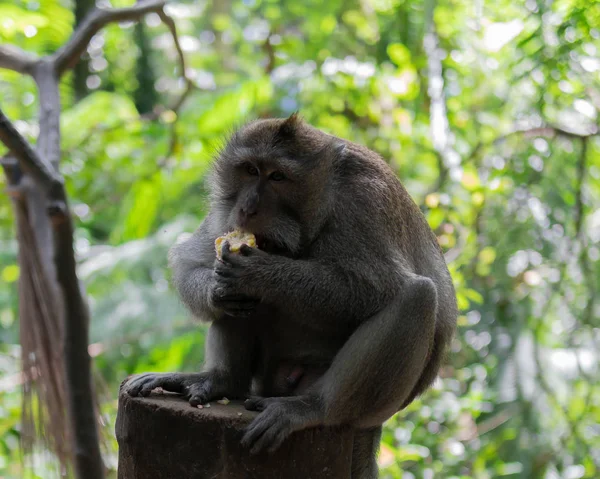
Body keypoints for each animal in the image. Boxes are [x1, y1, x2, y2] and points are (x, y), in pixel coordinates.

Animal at [124, 113, 458, 479]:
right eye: (250, 170)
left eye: (278, 177)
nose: (248, 208)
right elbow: (190, 261)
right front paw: (217, 288)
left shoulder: (363, 203)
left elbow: (377, 288)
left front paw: (258, 273)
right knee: (242, 312)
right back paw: (221, 381)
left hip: (361, 402)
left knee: (417, 297)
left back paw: (313, 407)